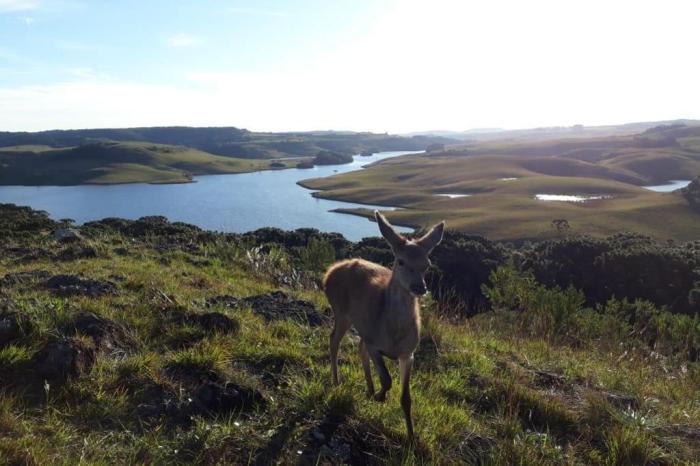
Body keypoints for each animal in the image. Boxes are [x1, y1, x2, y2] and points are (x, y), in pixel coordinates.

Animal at [322, 211, 442, 440]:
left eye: (427, 264)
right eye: (401, 261)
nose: (419, 287)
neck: (393, 335)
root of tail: (329, 272)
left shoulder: (409, 353)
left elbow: (406, 397)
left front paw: (411, 437)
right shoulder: (374, 343)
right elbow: (386, 379)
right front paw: (380, 396)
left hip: (360, 324)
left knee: (358, 347)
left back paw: (368, 388)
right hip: (340, 311)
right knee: (333, 341)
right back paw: (337, 381)